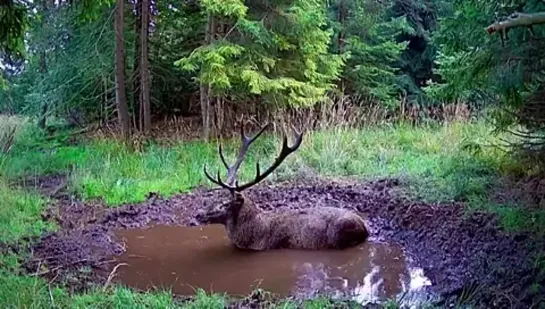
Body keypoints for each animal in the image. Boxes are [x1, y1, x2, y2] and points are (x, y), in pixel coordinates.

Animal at [196, 121, 370, 249]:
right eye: (214, 198)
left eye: (225, 204)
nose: (198, 214)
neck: (254, 234)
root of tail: (365, 228)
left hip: (339, 234)